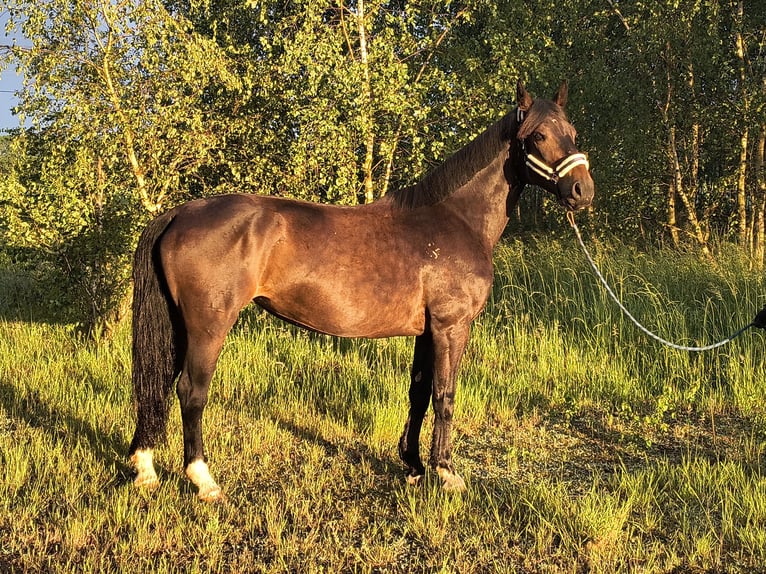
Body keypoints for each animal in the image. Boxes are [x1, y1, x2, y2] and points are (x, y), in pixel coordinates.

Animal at [128, 79, 594, 501]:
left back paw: (145, 469)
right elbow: (444, 395)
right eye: (538, 135)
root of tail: (179, 213)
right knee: (191, 391)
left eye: (573, 131)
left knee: (158, 386)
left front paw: (414, 466)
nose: (582, 191)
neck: (455, 219)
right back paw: (203, 480)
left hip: (180, 326)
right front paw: (446, 472)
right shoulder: (451, 326)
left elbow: (419, 393)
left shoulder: (427, 332)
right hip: (209, 326)